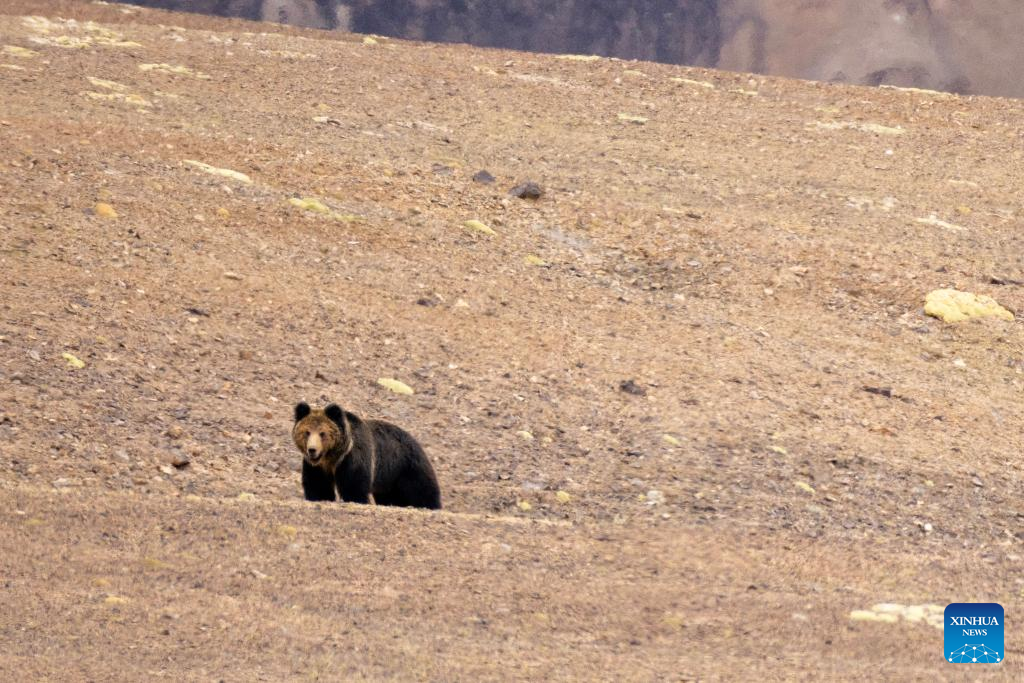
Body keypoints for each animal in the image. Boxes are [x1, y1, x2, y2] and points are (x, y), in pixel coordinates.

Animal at [294, 403, 442, 509]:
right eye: (307, 432)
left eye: (322, 433)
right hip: (389, 480)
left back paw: (431, 506)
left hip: (407, 466)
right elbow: (318, 486)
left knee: (422, 489)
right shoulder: (317, 467)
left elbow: (354, 487)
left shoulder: (353, 458)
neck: (333, 458)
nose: (312, 450)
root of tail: (415, 441)